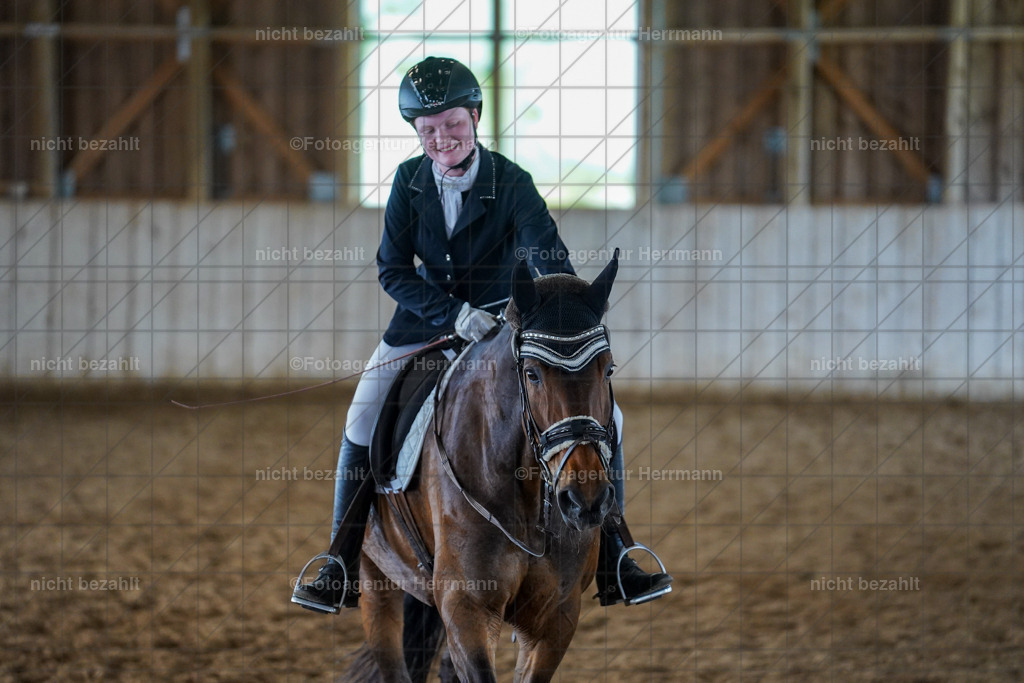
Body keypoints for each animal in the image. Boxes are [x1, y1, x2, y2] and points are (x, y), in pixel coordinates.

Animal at [351, 254, 622, 682]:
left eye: (608, 369)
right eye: (531, 373)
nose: (586, 500)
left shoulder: (557, 616)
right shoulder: (467, 607)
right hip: (374, 578)